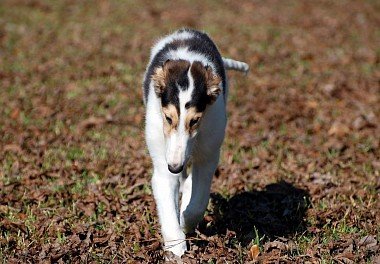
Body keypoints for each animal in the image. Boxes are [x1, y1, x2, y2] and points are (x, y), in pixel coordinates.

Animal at [143, 28, 249, 258]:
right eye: (168, 118)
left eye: (195, 120)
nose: (175, 167)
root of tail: (186, 31)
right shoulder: (164, 166)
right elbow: (168, 204)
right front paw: (176, 247)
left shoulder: (208, 156)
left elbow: (197, 203)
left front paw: (185, 222)